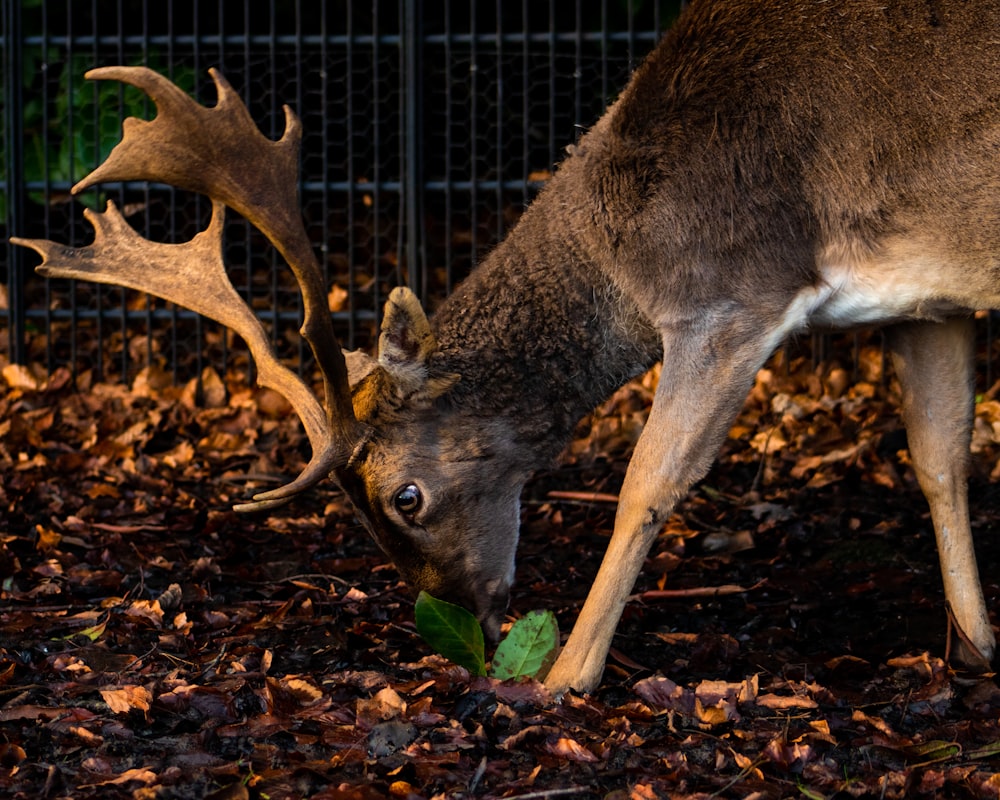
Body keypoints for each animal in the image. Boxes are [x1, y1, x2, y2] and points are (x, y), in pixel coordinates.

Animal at [15, 0, 1000, 692]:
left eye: (405, 495)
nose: (472, 625)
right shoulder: (927, 300)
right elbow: (939, 455)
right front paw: (978, 644)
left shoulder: (729, 293)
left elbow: (649, 480)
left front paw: (564, 677)